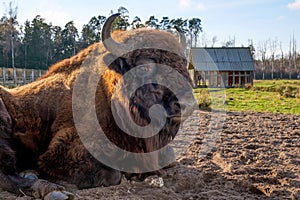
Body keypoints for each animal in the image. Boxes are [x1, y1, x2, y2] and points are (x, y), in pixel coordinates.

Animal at [0, 13, 195, 198]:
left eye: (182, 63)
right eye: (143, 67)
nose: (187, 103)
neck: (109, 96)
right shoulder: (63, 150)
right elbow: (113, 175)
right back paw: (50, 189)